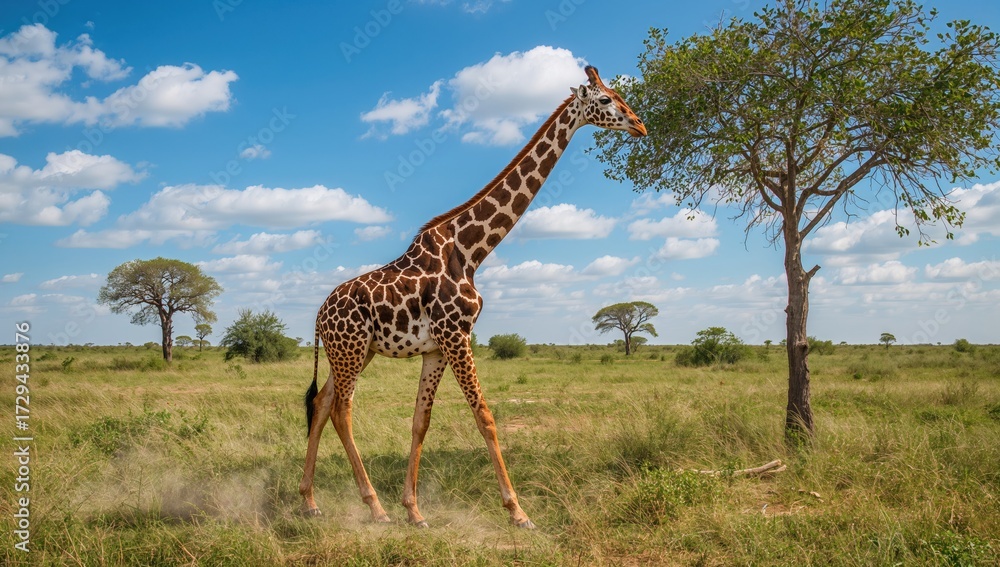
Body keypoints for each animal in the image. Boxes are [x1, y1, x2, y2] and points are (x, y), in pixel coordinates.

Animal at [299, 65, 646, 528]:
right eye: (606, 100)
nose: (640, 125)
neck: (471, 251)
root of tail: (319, 317)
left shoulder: (437, 347)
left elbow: (421, 421)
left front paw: (415, 510)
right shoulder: (457, 335)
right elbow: (485, 416)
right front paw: (518, 511)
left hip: (355, 351)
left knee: (321, 404)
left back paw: (310, 501)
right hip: (351, 349)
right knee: (342, 409)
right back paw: (373, 506)